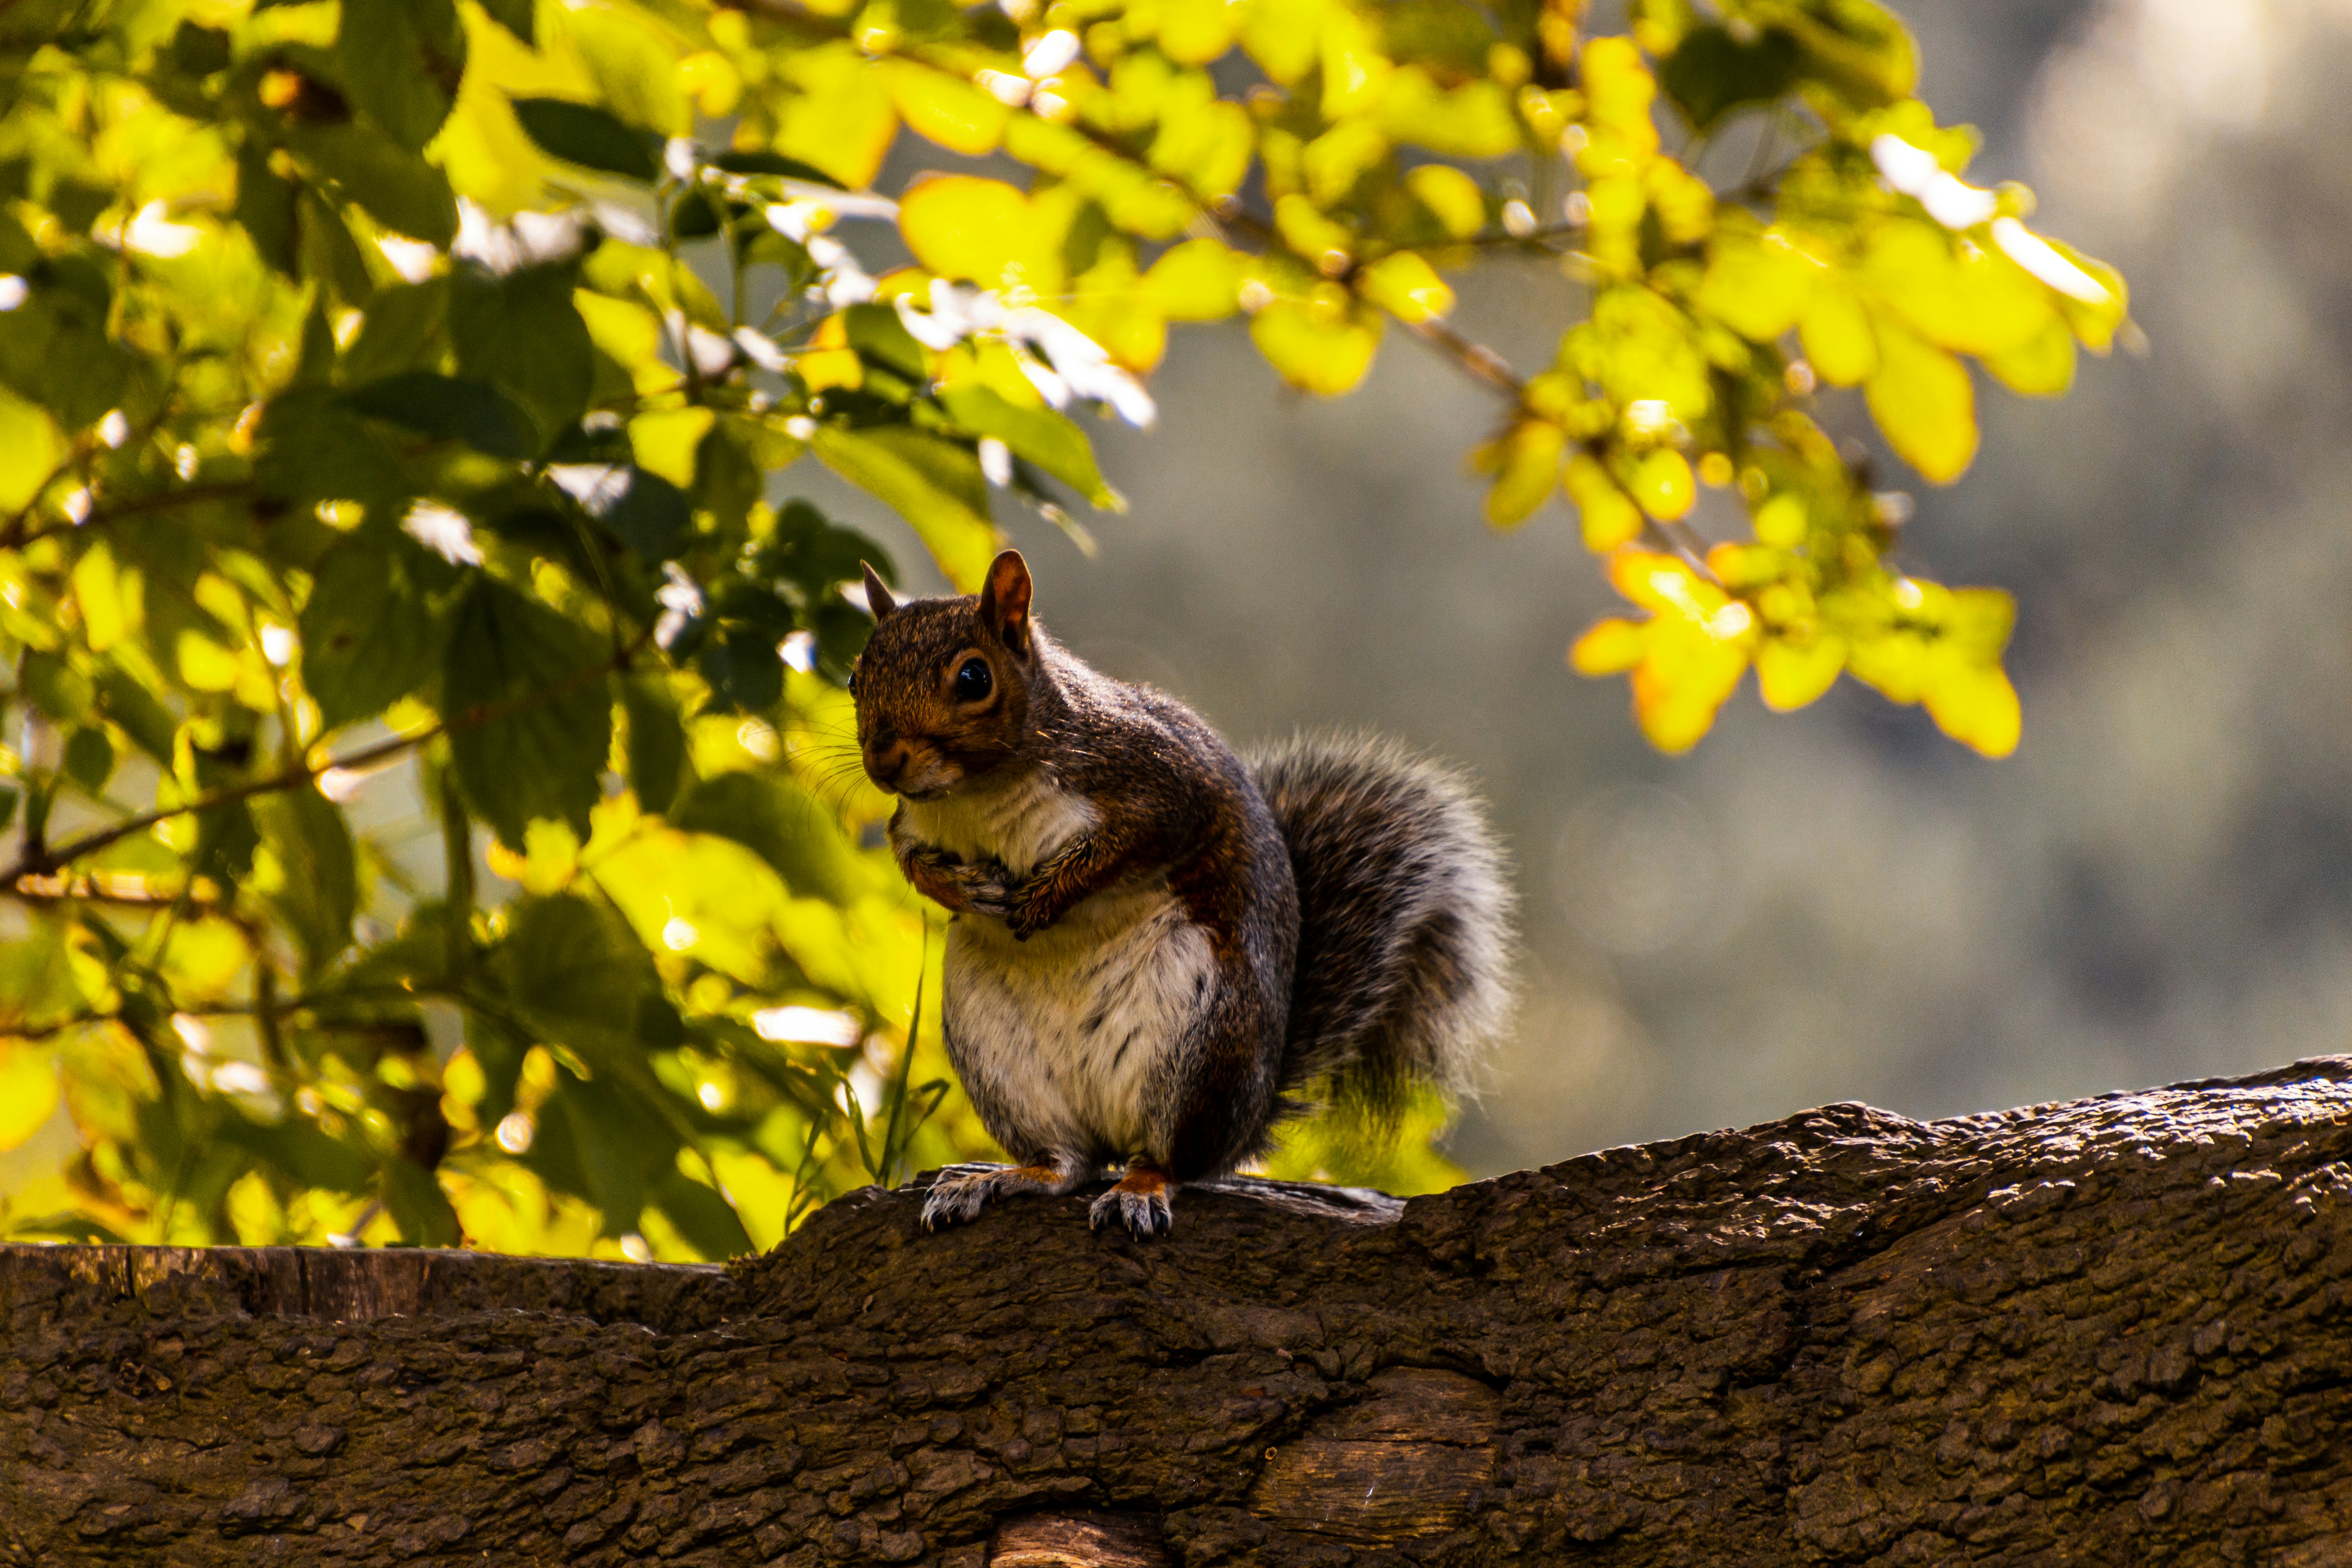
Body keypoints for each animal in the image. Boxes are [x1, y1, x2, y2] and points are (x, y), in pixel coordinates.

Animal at [856, 552, 1514, 1241]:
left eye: (974, 678)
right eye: (854, 677)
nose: (884, 761)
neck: (978, 793)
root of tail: (1247, 1122)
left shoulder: (1159, 783)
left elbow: (1124, 848)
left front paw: (1048, 897)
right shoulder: (912, 824)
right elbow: (911, 860)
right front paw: (959, 887)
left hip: (1204, 1047)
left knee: (1168, 1161)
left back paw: (1138, 1189)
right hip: (1000, 1060)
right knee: (1067, 1164)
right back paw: (1000, 1179)